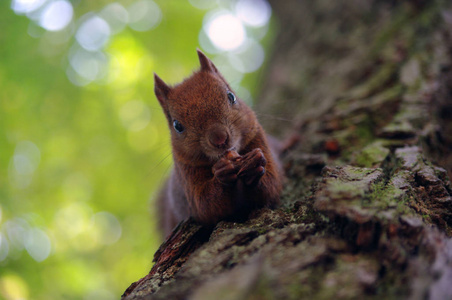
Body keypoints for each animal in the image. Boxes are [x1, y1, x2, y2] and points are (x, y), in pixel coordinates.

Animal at [155, 49, 282, 237]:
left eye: (231, 96)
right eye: (177, 126)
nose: (220, 139)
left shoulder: (257, 138)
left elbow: (271, 188)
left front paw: (254, 163)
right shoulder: (186, 171)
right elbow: (206, 206)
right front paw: (222, 173)